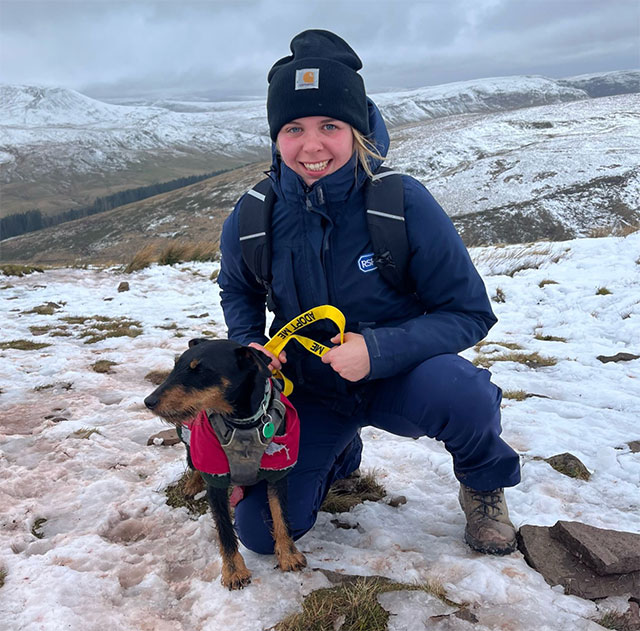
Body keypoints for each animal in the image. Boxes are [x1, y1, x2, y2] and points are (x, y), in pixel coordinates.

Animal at [146, 338, 306, 592]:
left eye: (200, 370)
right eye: (175, 365)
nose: (149, 401)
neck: (243, 423)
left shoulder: (278, 474)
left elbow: (281, 516)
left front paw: (288, 554)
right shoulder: (216, 480)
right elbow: (225, 530)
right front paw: (234, 571)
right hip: (192, 445)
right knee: (194, 464)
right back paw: (192, 485)